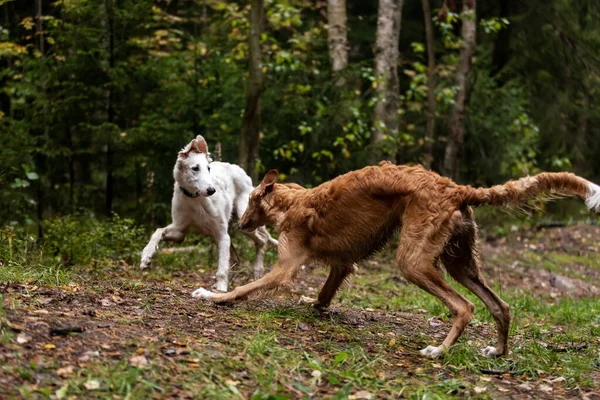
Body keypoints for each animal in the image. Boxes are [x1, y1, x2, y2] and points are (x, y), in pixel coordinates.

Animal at [139, 137, 278, 290]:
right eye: (195, 168)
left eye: (208, 168)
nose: (212, 190)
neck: (194, 199)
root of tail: (241, 171)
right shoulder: (179, 231)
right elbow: (158, 231)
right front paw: (146, 256)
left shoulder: (223, 236)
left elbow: (222, 269)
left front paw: (221, 290)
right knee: (237, 259)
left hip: (244, 223)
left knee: (262, 240)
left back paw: (258, 270)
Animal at [193, 161, 600, 358]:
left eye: (249, 201)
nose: (241, 224)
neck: (293, 200)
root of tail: (456, 188)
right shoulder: (343, 264)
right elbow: (324, 293)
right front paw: (315, 305)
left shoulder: (286, 266)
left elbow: (245, 287)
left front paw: (213, 295)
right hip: (459, 263)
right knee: (500, 306)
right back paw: (497, 352)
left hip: (413, 262)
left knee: (465, 307)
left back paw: (439, 351)